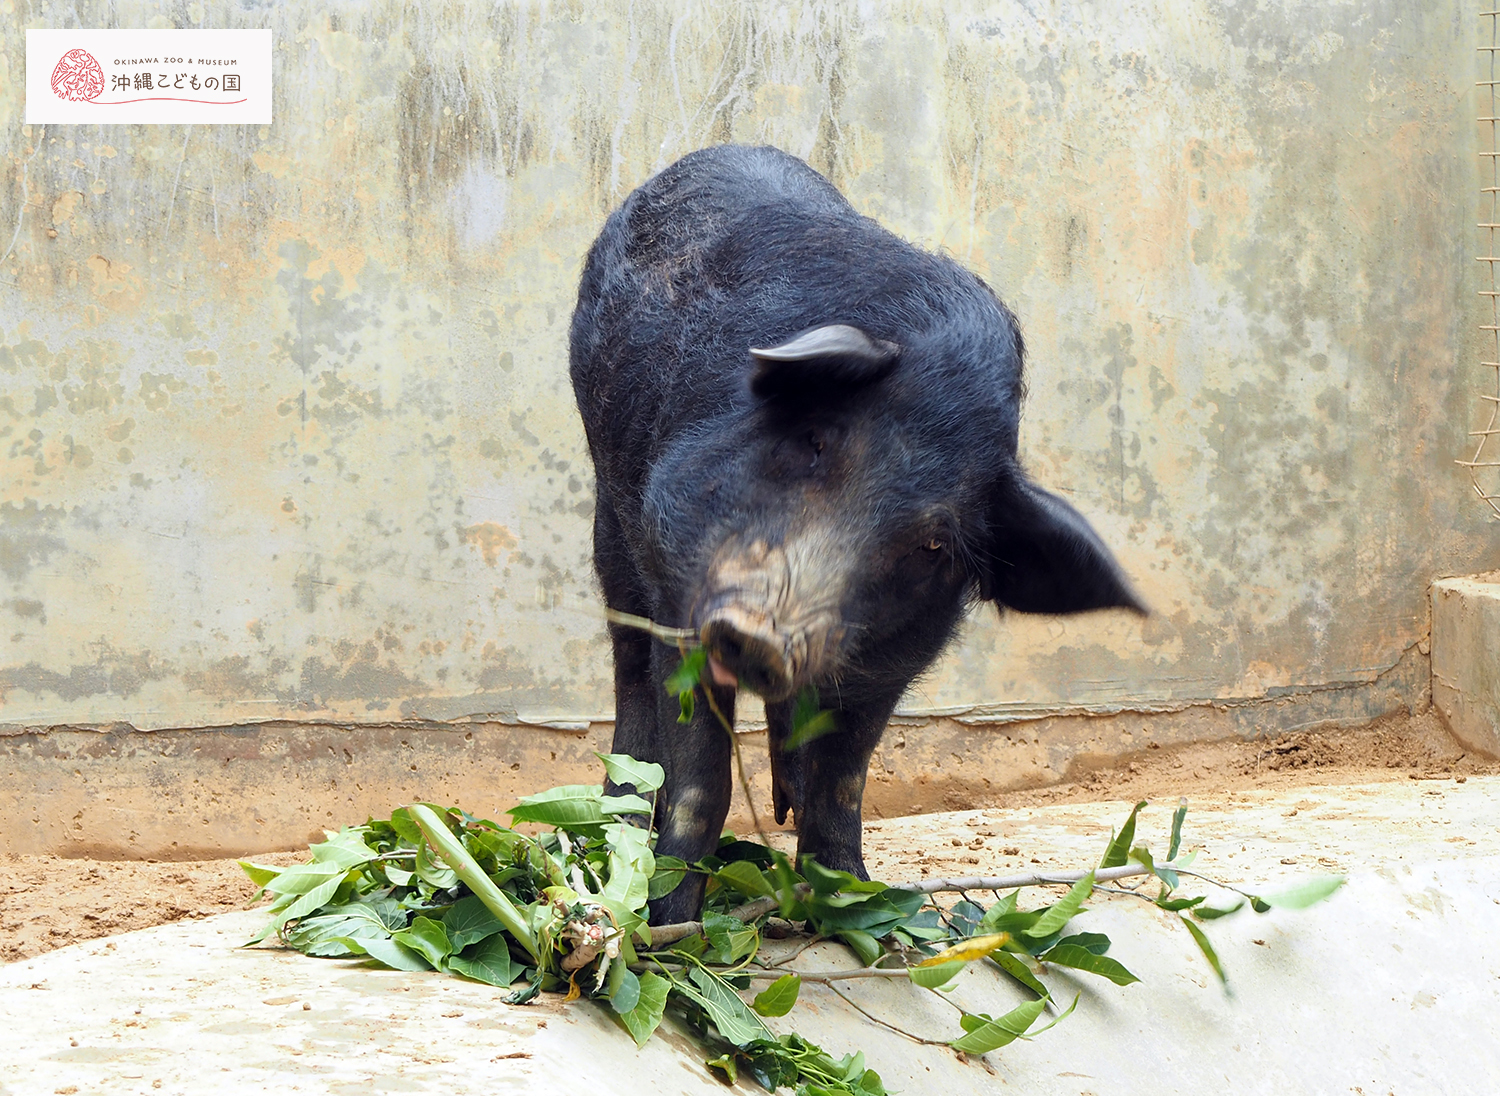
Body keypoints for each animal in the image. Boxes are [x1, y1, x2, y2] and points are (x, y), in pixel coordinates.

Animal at [567, 141, 1140, 923]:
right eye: (815, 442)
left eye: (933, 543)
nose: (760, 634)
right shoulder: (678, 578)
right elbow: (700, 777)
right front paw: (669, 927)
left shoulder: (894, 656)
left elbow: (846, 778)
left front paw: (850, 902)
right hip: (610, 515)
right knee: (628, 671)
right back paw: (614, 821)